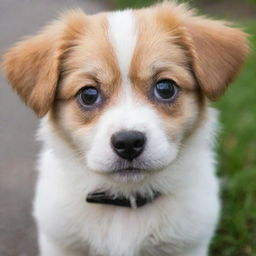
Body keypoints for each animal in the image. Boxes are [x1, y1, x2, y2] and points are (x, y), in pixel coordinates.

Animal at [2, 2, 248, 256]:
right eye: (88, 94)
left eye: (165, 88)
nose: (128, 143)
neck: (126, 203)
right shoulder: (60, 243)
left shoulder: (188, 245)